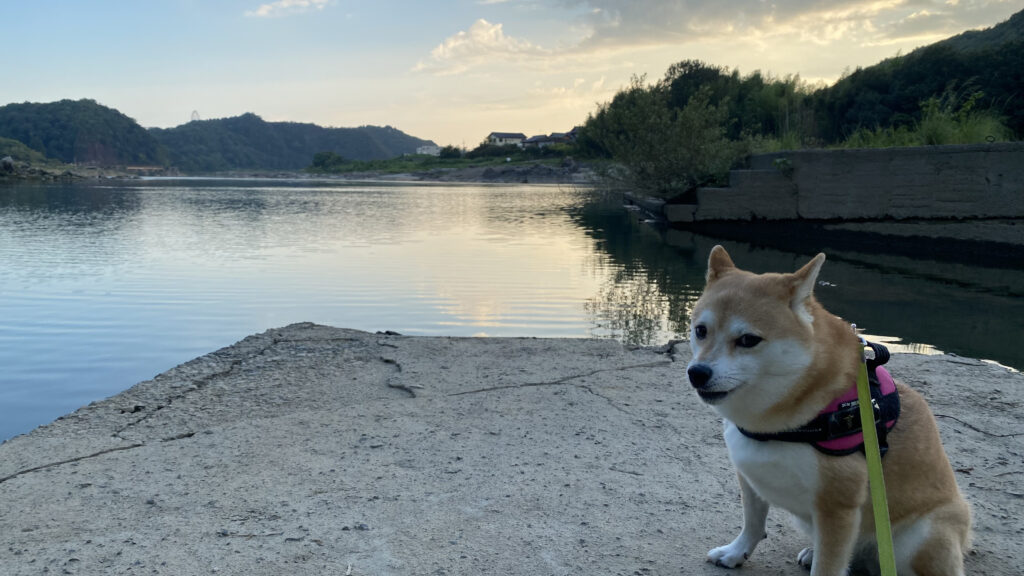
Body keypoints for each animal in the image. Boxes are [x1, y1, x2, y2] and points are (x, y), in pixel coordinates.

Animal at [688, 245, 966, 573]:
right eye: (700, 330)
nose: (697, 373)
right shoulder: (750, 474)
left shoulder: (837, 507)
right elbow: (753, 524)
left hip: (923, 535)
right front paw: (735, 552)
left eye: (748, 340)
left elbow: (828, 566)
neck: (777, 423)